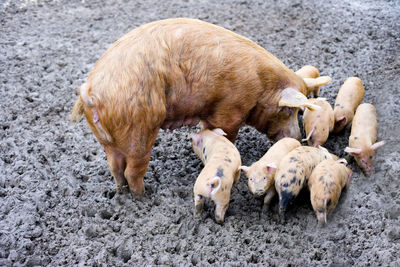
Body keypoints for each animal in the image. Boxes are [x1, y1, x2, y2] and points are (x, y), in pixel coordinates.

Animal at [71, 17, 332, 196]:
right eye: (290, 110)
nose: (296, 138)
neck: (260, 85)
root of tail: (90, 91)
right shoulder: (229, 109)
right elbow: (227, 133)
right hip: (140, 128)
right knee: (131, 170)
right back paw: (144, 196)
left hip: (110, 141)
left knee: (115, 167)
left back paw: (121, 191)